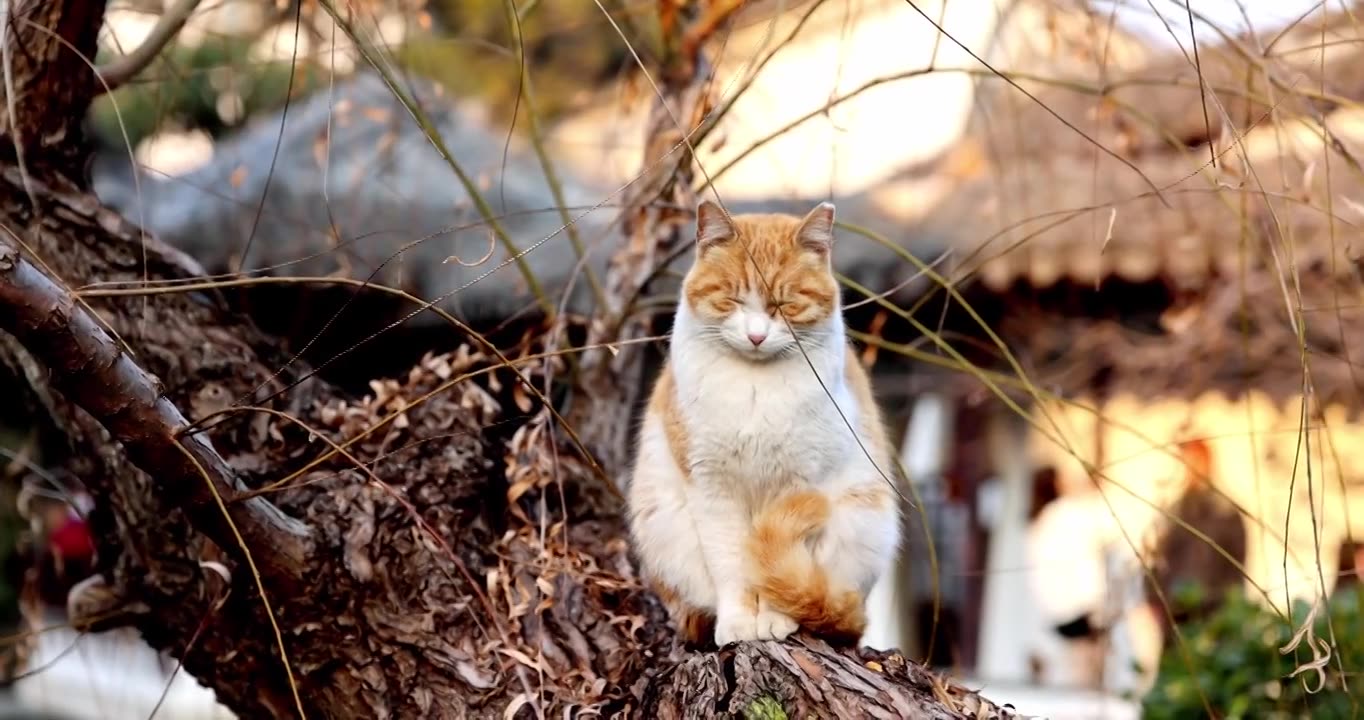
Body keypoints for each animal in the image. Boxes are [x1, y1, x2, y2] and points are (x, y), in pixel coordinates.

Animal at [624, 197, 900, 646]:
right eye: (733, 300)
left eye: (783, 305)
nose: (756, 336)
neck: (754, 388)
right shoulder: (712, 489)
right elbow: (733, 567)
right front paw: (738, 623)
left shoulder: (795, 483)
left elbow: (775, 571)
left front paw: (773, 618)